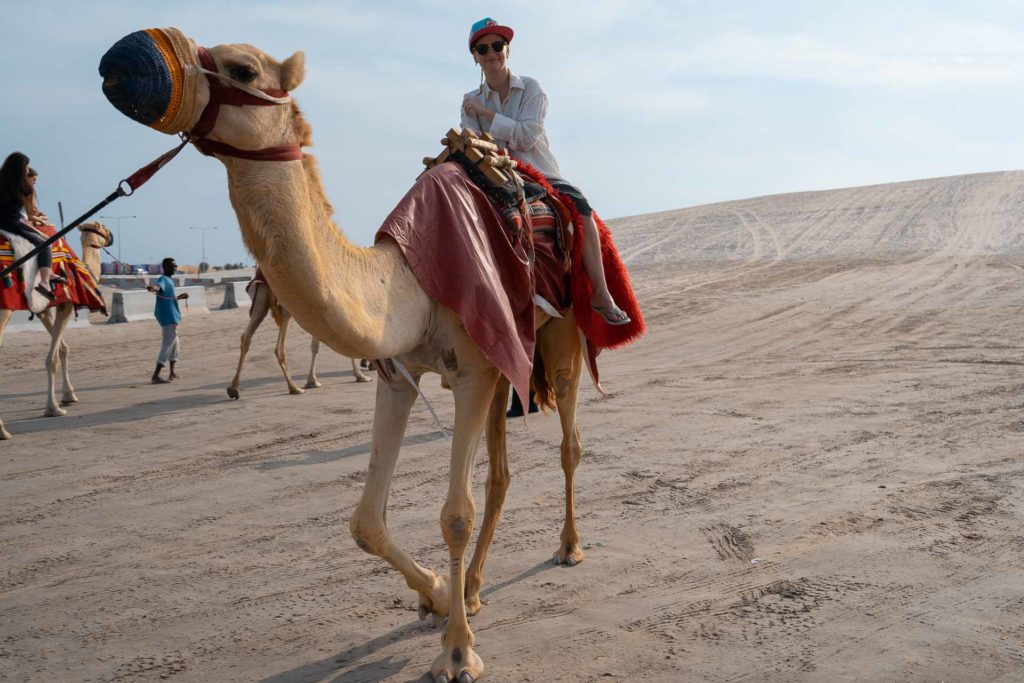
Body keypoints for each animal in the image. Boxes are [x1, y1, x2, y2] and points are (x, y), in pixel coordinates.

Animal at [0, 222, 112, 440]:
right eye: (103, 227)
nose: (110, 236)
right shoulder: (66, 302)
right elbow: (52, 358)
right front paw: (53, 408)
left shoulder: (43, 309)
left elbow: (62, 349)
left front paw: (68, 395)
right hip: (4, 308)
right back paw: (2, 431)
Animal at [226, 274, 374, 401]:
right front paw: (360, 375)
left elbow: (316, 345)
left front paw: (312, 381)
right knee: (278, 346)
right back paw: (293, 387)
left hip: (262, 298)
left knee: (246, 337)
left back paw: (233, 388)